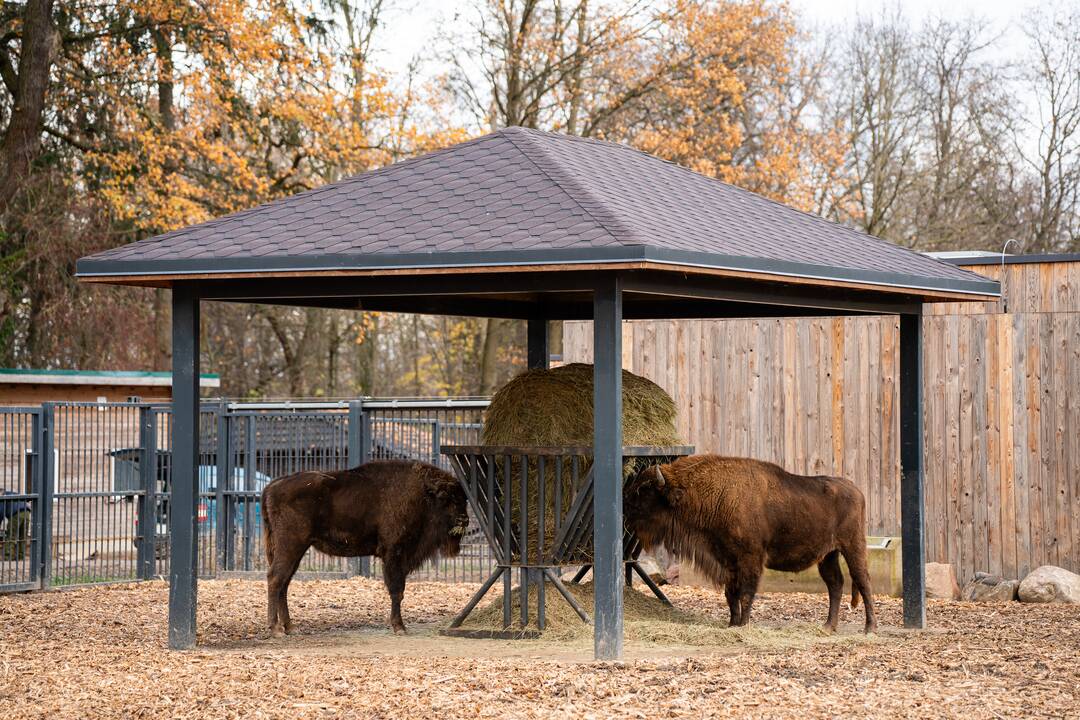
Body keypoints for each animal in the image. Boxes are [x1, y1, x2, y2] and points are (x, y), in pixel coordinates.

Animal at [261, 462, 468, 634]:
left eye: (463, 499)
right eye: (445, 497)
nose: (464, 520)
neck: (422, 494)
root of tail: (272, 486)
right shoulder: (394, 553)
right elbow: (397, 590)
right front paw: (399, 627)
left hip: (296, 550)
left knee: (284, 582)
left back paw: (290, 627)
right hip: (291, 545)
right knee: (275, 578)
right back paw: (276, 629)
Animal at [626, 455, 876, 634]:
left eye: (644, 490)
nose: (626, 509)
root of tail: (856, 490)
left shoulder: (750, 558)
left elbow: (746, 593)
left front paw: (744, 624)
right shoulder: (727, 560)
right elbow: (731, 594)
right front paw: (732, 624)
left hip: (853, 546)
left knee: (863, 581)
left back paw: (869, 628)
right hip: (827, 555)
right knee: (835, 584)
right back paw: (828, 627)